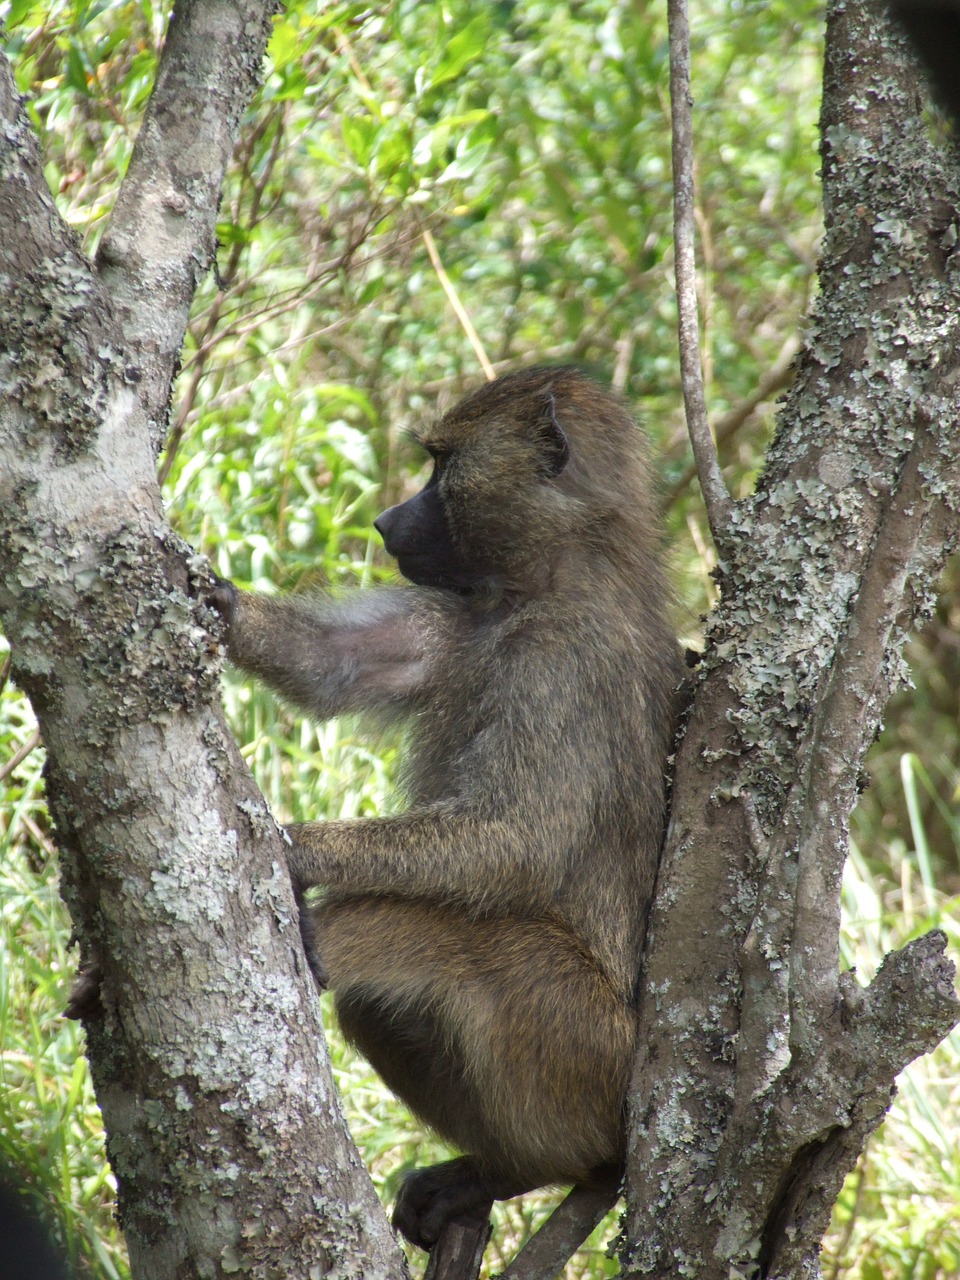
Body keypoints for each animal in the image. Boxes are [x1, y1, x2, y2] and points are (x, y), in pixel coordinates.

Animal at [213, 368, 686, 1249]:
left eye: (441, 466)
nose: (386, 520)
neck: (549, 580)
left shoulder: (562, 667)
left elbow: (516, 841)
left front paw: (296, 849)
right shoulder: (459, 616)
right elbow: (334, 665)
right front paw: (214, 600)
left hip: (587, 1046)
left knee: (446, 944)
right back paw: (493, 1173)